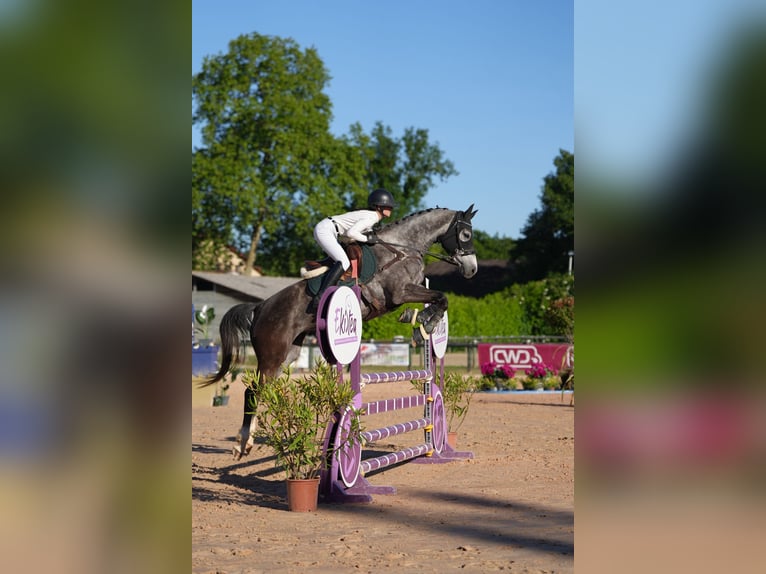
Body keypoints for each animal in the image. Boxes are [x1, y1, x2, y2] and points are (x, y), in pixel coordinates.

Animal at [202, 204, 479, 459]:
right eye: (465, 234)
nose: (472, 269)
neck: (403, 248)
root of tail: (260, 307)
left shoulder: (410, 291)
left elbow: (438, 299)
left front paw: (420, 320)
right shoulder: (400, 292)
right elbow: (441, 298)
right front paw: (425, 321)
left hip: (288, 354)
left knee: (263, 391)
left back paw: (246, 441)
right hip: (272, 355)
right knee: (252, 391)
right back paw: (242, 444)